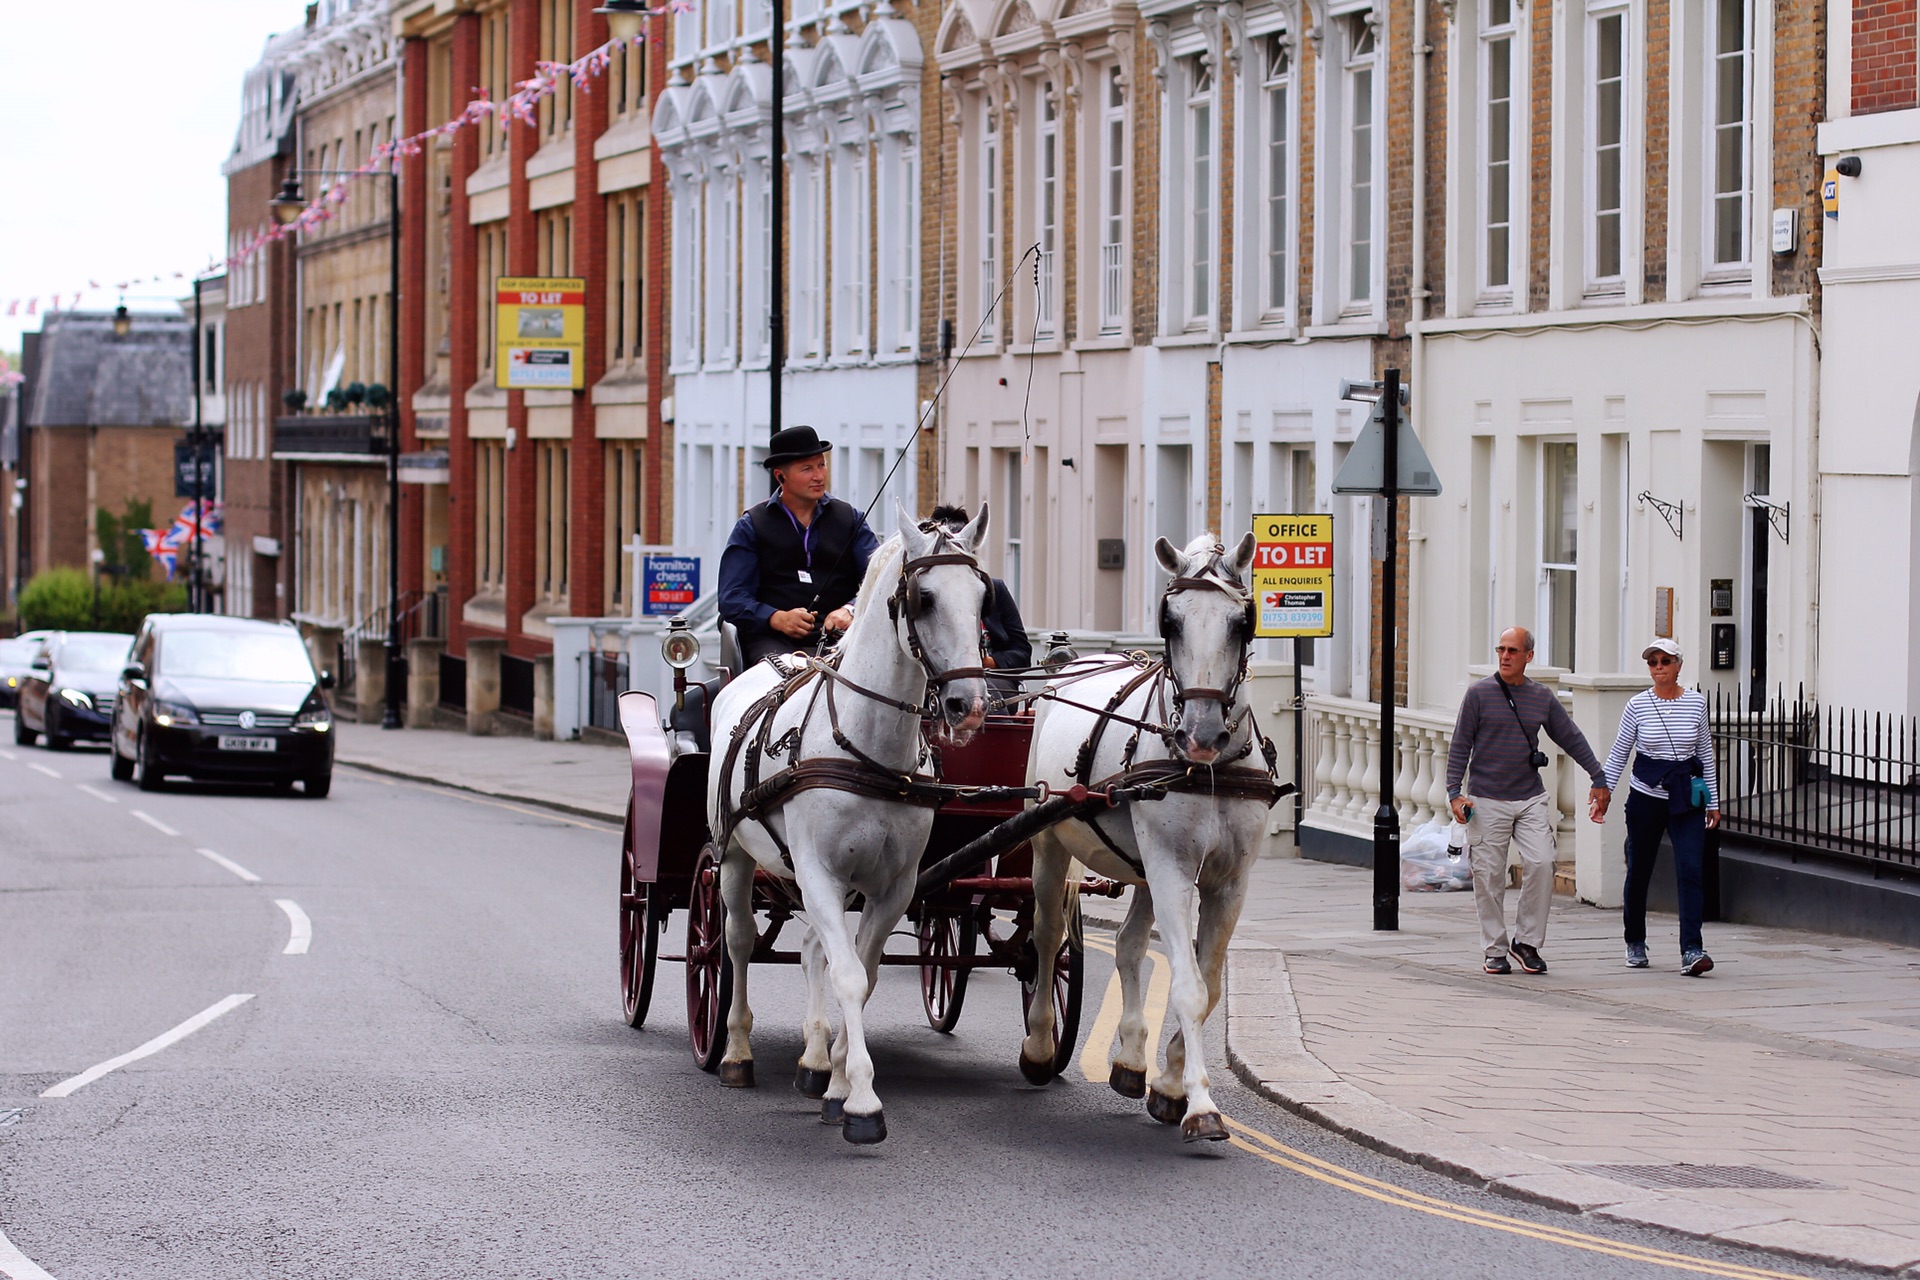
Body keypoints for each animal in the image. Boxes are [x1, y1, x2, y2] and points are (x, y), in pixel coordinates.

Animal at [714, 506, 998, 1143]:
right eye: (923, 598)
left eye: (982, 596)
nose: (969, 707)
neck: (871, 750)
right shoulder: (818, 871)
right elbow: (846, 974)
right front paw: (865, 1103)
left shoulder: (893, 885)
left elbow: (861, 974)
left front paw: (840, 1081)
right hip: (735, 855)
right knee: (738, 940)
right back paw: (736, 1053)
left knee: (813, 949)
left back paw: (814, 1060)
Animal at [1021, 529, 1274, 1143]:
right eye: (1170, 620)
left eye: (1243, 621)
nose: (1202, 734)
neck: (1210, 771)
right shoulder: (1173, 868)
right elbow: (1187, 986)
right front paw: (1201, 1103)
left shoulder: (1228, 881)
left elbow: (1209, 985)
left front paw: (1170, 1086)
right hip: (1052, 846)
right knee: (1046, 937)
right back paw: (1039, 1045)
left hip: (1142, 868)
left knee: (1131, 945)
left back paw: (1132, 1060)